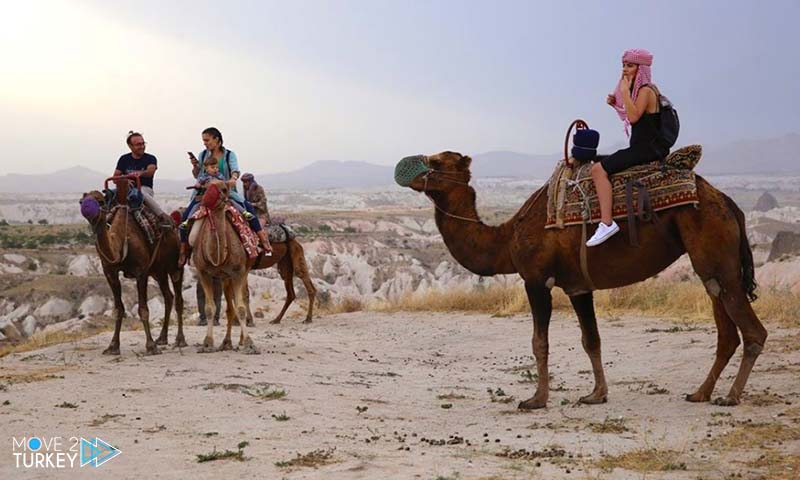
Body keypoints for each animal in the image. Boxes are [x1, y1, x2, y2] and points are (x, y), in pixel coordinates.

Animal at [81, 175, 188, 352]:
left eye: (101, 201)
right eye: (81, 201)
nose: (87, 209)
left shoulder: (141, 272)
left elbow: (143, 309)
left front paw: (150, 346)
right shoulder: (110, 272)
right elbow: (118, 309)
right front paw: (113, 346)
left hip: (175, 265)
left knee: (178, 299)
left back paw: (179, 340)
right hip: (158, 271)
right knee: (168, 296)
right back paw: (162, 338)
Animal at [189, 179, 258, 352]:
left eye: (224, 189)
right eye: (205, 188)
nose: (205, 200)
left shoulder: (238, 272)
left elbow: (240, 308)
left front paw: (249, 343)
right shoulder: (203, 272)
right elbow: (209, 308)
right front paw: (207, 342)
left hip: (244, 270)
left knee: (242, 300)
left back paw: (240, 341)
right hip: (225, 278)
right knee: (229, 308)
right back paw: (227, 342)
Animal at [396, 153, 764, 408]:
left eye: (436, 160)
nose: (403, 171)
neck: (507, 237)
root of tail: (728, 201)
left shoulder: (536, 279)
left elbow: (539, 342)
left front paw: (536, 399)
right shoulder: (578, 287)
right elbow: (592, 340)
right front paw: (596, 394)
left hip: (715, 250)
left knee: (752, 330)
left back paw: (730, 397)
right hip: (711, 264)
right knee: (725, 327)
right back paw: (700, 393)